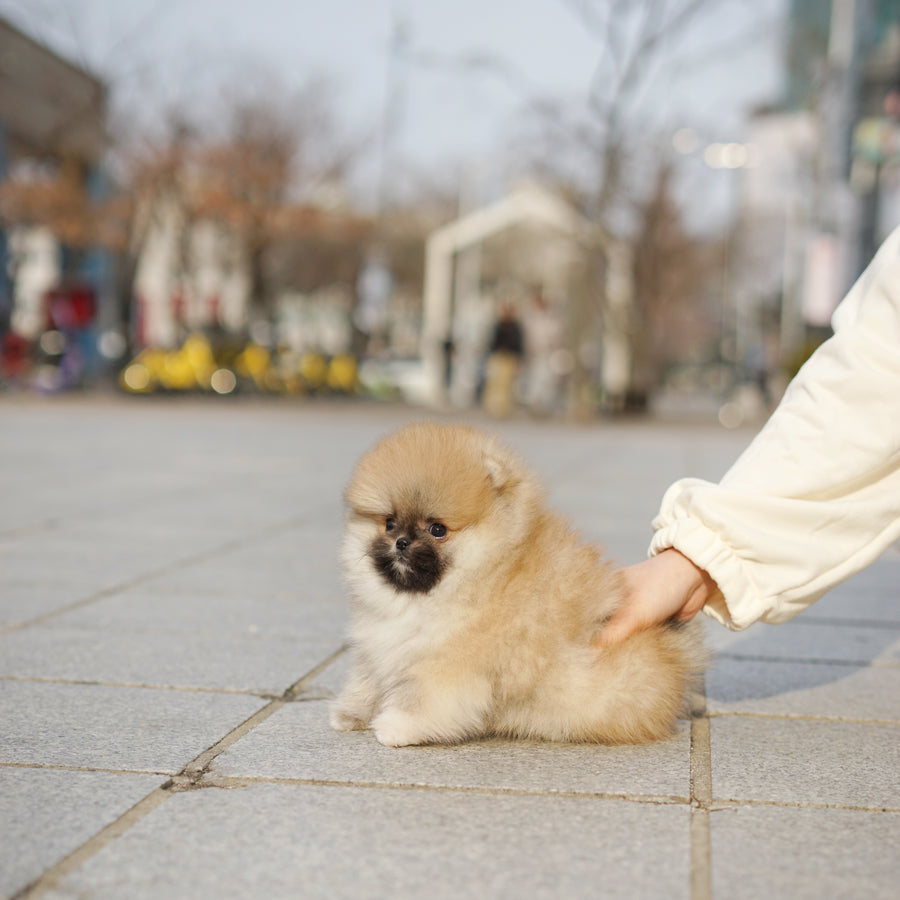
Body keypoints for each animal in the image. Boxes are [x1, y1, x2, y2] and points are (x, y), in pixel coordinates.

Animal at [330, 426, 704, 748]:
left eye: (437, 529)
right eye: (389, 523)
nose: (402, 542)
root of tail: (674, 654)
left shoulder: (449, 664)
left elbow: (423, 699)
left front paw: (396, 727)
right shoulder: (380, 646)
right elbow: (367, 679)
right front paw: (352, 712)